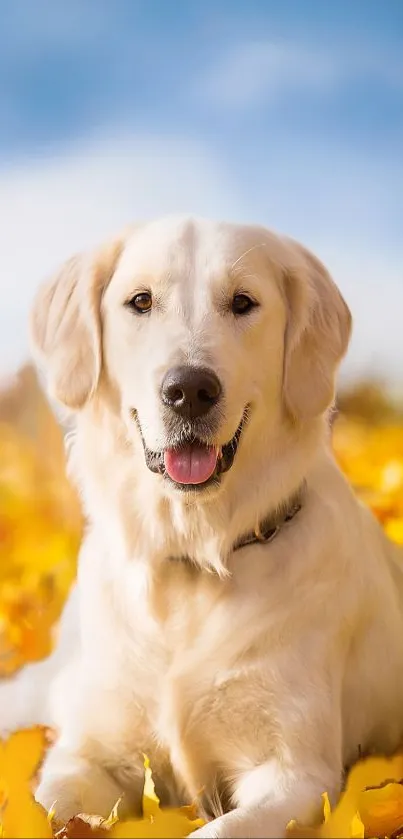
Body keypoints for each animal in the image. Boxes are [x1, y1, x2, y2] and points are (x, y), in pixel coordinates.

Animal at [0, 215, 403, 832]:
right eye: (140, 301)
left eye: (243, 303)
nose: (190, 390)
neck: (191, 556)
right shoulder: (91, 754)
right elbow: (48, 805)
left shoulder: (297, 775)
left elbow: (223, 828)